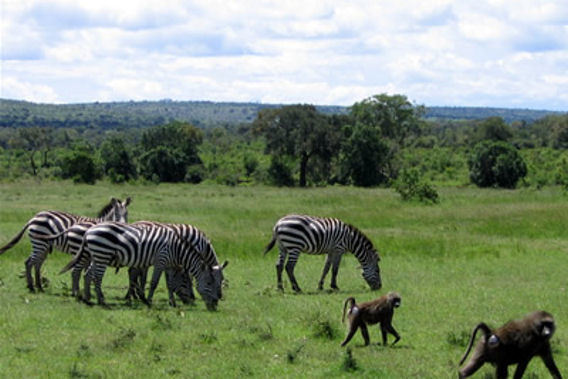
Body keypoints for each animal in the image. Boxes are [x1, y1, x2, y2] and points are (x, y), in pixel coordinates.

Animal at [0, 197, 131, 292]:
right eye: (117, 214)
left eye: (126, 214)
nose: (124, 226)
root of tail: (33, 218)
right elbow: (85, 270)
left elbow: (85, 270)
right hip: (39, 243)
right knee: (29, 262)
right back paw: (32, 287)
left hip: (44, 246)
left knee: (36, 263)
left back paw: (39, 287)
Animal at [60, 221, 224, 310]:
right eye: (209, 283)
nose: (215, 303)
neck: (177, 248)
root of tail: (89, 231)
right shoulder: (160, 260)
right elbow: (154, 282)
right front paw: (147, 301)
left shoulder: (169, 265)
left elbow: (170, 284)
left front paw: (172, 302)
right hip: (102, 254)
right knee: (95, 277)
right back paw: (100, 300)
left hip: (96, 255)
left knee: (87, 274)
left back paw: (87, 299)